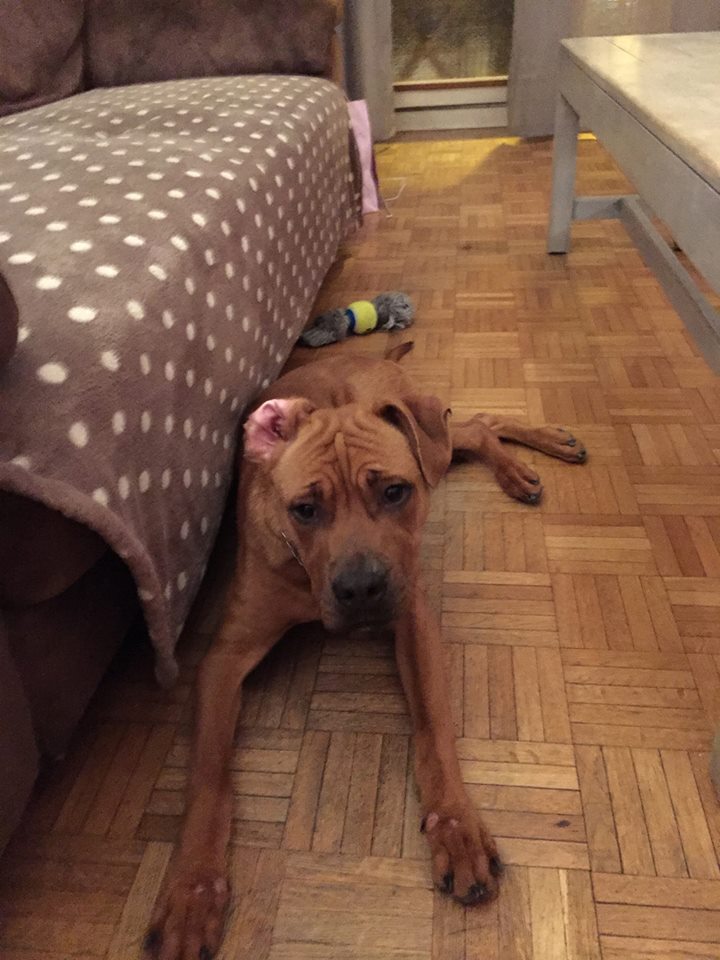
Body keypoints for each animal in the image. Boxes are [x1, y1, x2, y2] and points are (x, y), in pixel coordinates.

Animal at [144, 343, 586, 959]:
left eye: (395, 492)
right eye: (304, 509)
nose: (360, 590)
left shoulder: (413, 620)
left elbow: (434, 734)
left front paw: (457, 828)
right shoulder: (222, 662)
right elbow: (209, 781)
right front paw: (192, 891)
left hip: (430, 440)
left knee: (470, 426)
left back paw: (528, 459)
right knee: (472, 427)